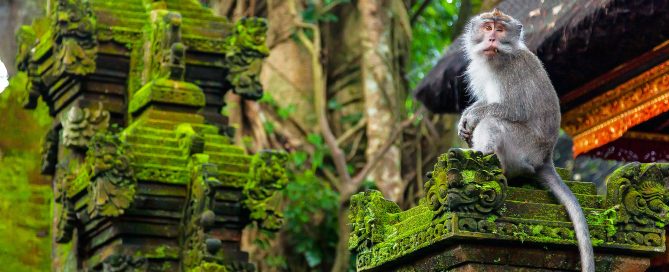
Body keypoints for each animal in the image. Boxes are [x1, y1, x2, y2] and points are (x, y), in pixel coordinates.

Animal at [456, 8, 592, 272]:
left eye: (500, 30)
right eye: (487, 28)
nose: (492, 39)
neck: (497, 59)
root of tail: (546, 158)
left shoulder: (513, 70)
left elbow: (513, 109)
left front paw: (473, 116)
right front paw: (465, 118)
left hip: (524, 148)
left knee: (493, 122)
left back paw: (483, 158)